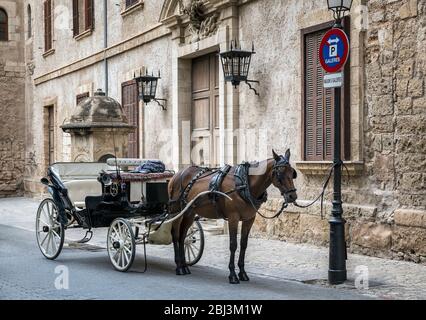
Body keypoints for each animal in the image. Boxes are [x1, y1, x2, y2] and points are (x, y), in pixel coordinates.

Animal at [168, 149, 298, 284]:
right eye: (280, 172)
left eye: (292, 172)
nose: (292, 196)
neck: (244, 184)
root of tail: (177, 174)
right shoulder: (233, 218)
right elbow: (233, 244)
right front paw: (232, 274)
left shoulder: (249, 219)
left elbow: (243, 244)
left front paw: (242, 272)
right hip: (176, 211)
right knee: (176, 234)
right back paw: (179, 266)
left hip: (190, 213)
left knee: (183, 236)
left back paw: (184, 266)